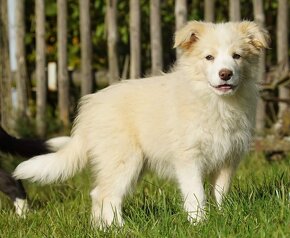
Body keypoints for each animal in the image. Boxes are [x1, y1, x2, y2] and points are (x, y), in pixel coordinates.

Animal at [13, 21, 268, 228]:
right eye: (209, 58)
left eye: (237, 56)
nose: (225, 74)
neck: (215, 101)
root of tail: (89, 108)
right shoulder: (188, 158)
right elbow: (196, 194)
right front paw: (199, 223)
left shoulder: (228, 158)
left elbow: (220, 193)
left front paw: (223, 217)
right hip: (124, 159)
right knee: (107, 195)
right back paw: (119, 228)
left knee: (98, 193)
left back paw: (100, 228)